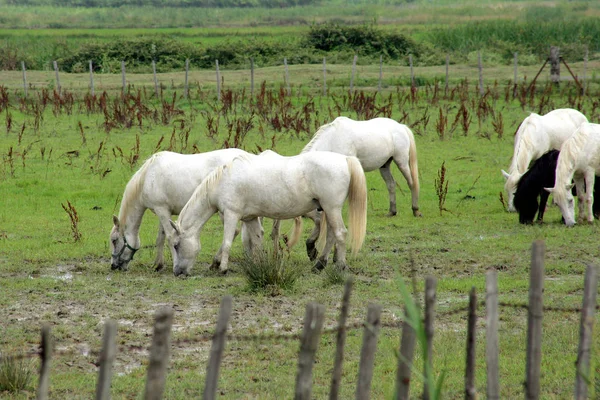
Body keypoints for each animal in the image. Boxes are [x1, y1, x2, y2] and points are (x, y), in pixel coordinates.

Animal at [110, 149, 302, 272]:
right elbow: (161, 237)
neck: (148, 176)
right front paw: (158, 264)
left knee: (234, 233)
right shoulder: (165, 211)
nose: (113, 266)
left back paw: (217, 262)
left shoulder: (161, 209)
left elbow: (168, 238)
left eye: (114, 240)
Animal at [166, 149, 368, 276]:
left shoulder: (231, 215)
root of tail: (344, 159)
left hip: (331, 208)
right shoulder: (250, 218)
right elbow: (256, 241)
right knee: (332, 235)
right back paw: (319, 264)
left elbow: (227, 242)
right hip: (328, 210)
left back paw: (340, 266)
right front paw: (257, 265)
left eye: (176, 245)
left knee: (340, 234)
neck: (223, 181)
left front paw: (222, 268)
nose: (177, 272)